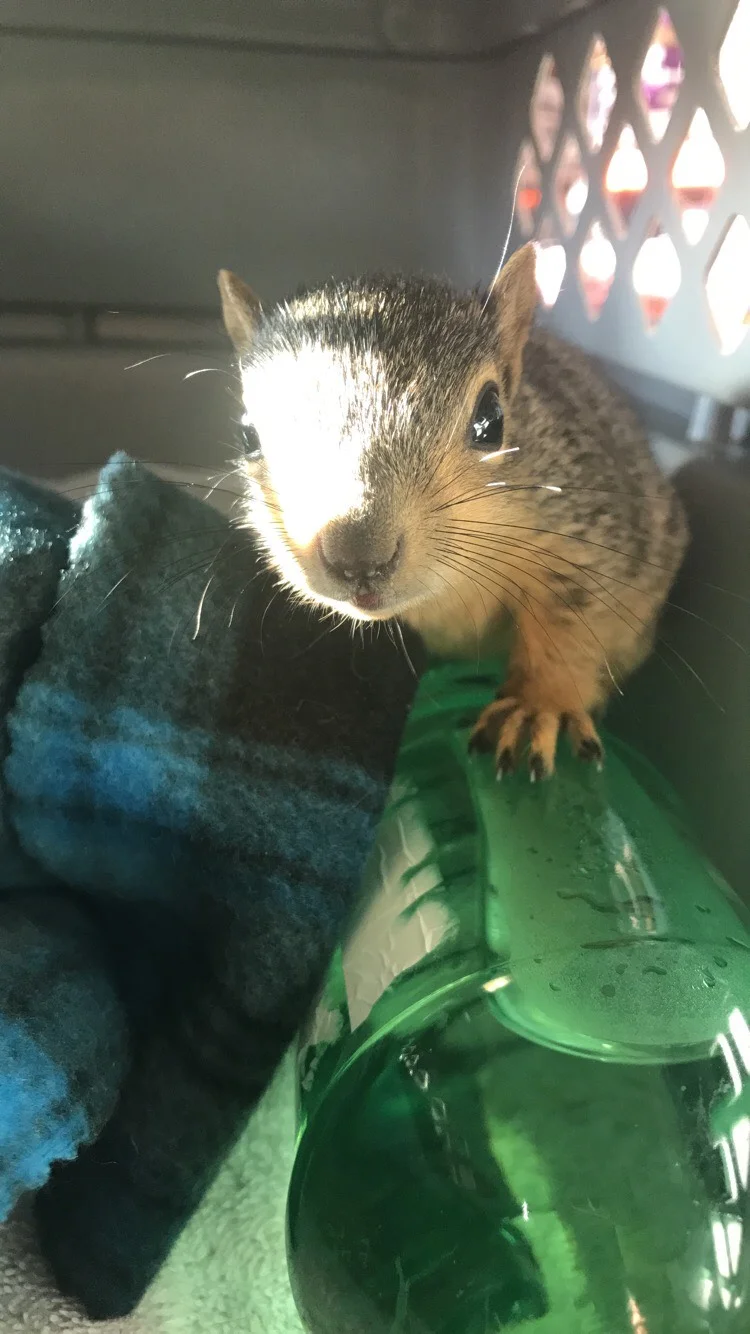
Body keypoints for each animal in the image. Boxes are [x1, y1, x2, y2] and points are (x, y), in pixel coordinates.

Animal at [217, 243, 688, 779]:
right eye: (247, 435)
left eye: (492, 418)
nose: (359, 560)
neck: (447, 591)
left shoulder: (589, 535)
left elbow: (575, 626)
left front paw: (540, 705)